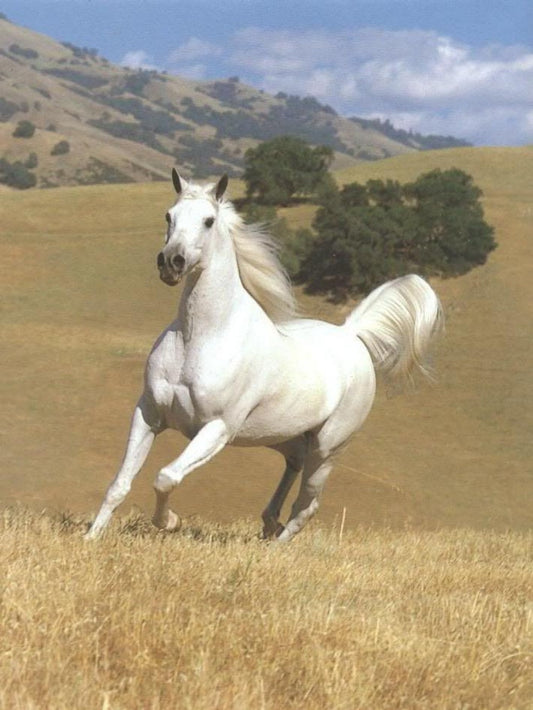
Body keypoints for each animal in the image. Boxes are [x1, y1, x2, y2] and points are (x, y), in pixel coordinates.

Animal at [85, 170, 443, 542]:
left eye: (209, 221)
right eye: (169, 216)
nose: (171, 262)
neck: (198, 337)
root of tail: (351, 336)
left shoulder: (217, 428)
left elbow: (166, 476)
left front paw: (170, 522)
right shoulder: (148, 413)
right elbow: (119, 484)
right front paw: (91, 538)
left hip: (327, 448)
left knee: (307, 505)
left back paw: (276, 544)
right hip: (282, 436)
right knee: (293, 466)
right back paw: (270, 523)